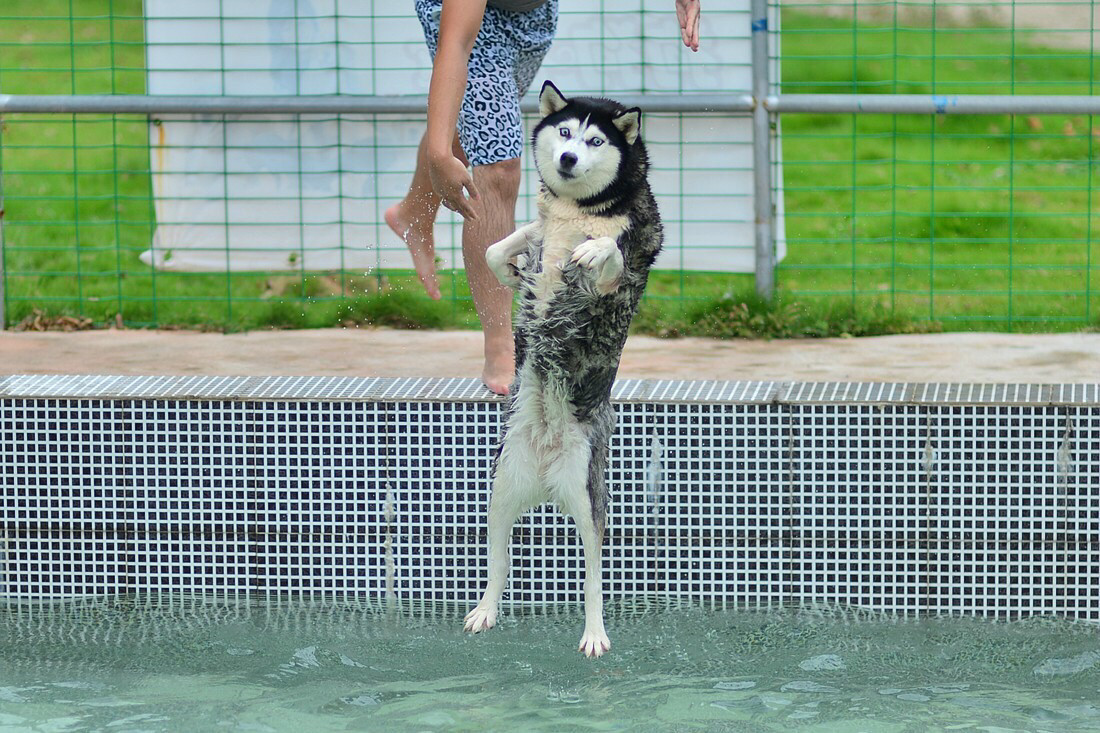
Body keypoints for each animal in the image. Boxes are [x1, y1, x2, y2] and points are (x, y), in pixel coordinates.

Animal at [464, 81, 660, 655]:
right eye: (566, 132)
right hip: (502, 486)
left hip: (589, 496)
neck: (580, 208)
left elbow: (610, 252)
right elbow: (494, 248)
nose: (568, 158)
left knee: (594, 578)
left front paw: (593, 249)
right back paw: (486, 610)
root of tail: (549, 468)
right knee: (498, 562)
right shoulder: (537, 230)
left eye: (596, 141)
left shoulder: (624, 267)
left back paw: (594, 633)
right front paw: (509, 272)